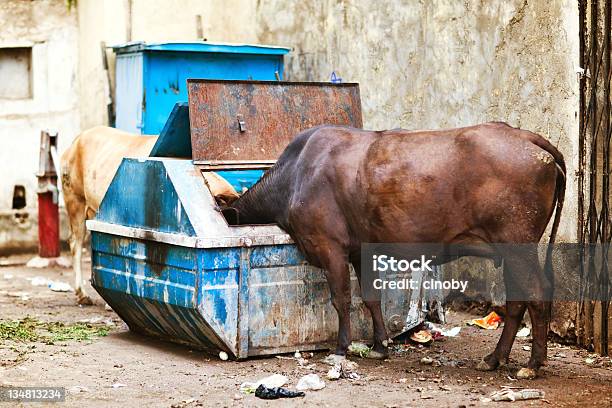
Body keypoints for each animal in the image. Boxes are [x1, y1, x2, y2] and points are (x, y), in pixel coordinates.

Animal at [227, 121, 568, 380]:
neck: (295, 176)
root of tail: (524, 136)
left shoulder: (329, 245)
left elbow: (342, 299)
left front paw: (341, 349)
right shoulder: (359, 250)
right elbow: (370, 297)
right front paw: (379, 346)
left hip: (518, 245)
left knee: (537, 294)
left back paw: (533, 364)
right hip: (510, 250)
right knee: (517, 301)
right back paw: (495, 358)